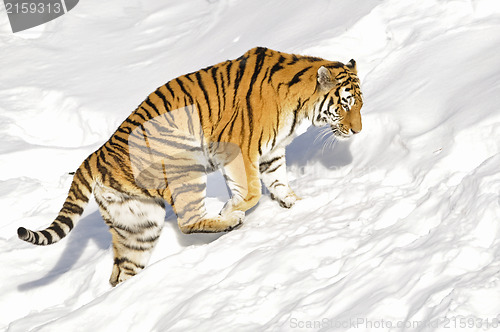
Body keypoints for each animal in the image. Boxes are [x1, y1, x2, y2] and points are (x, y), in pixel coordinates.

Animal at [17, 46, 364, 286]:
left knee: (122, 272)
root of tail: (94, 156)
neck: (299, 104)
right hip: (185, 168)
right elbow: (250, 191)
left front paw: (299, 205)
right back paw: (229, 222)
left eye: (360, 105)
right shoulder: (238, 149)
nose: (358, 131)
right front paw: (230, 208)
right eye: (345, 104)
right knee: (187, 221)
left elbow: (280, 183)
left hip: (138, 224)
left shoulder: (271, 153)